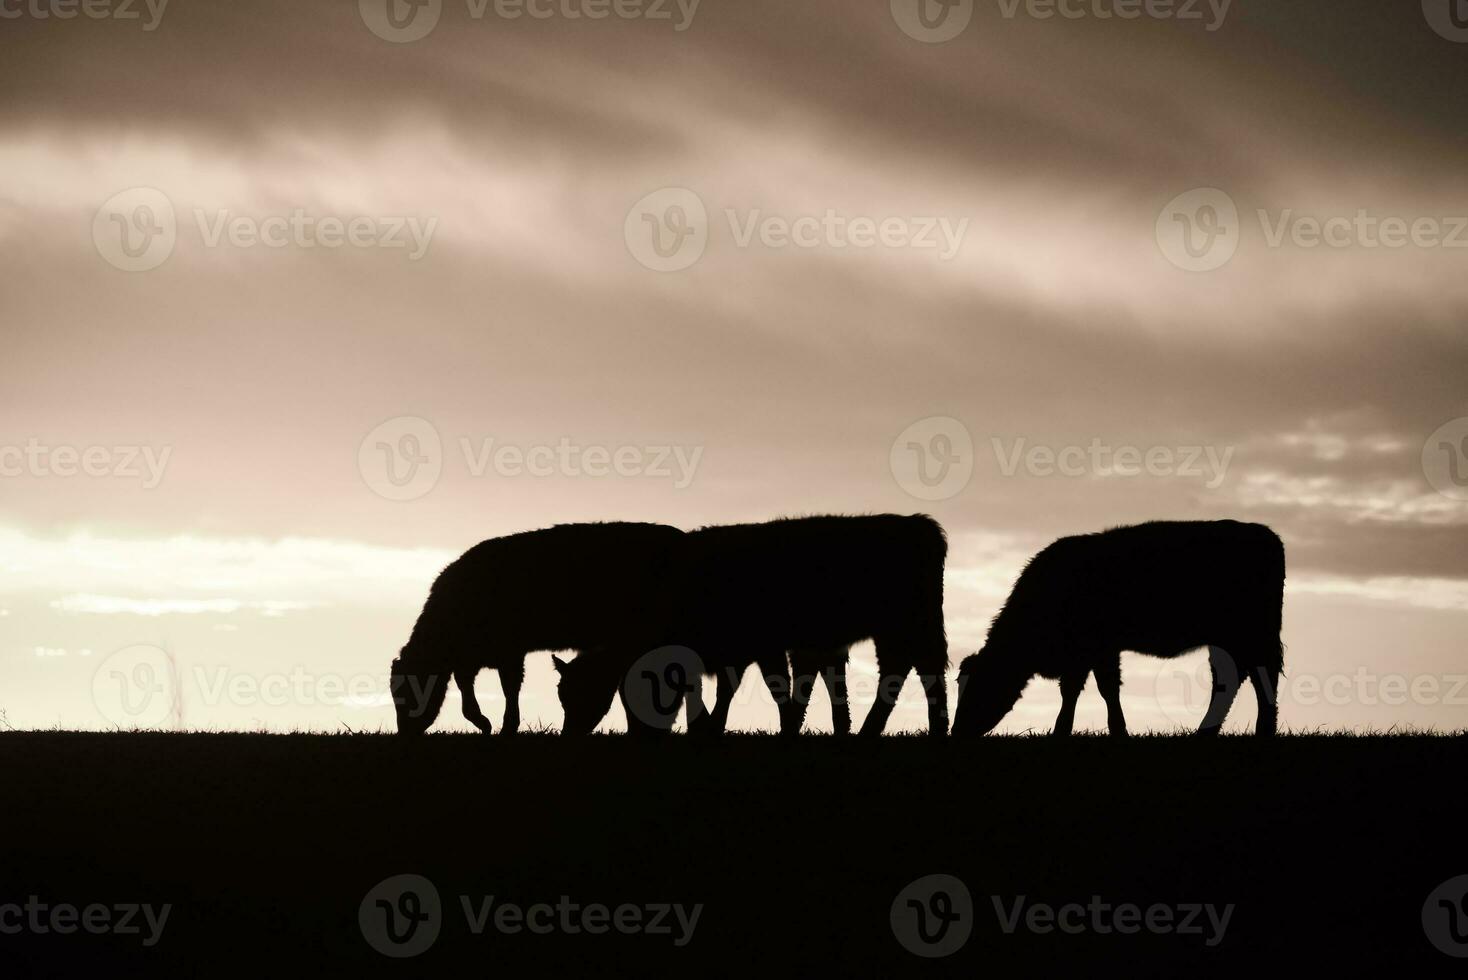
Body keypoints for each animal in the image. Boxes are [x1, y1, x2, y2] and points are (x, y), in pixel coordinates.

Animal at [390, 525, 687, 730]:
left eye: (409, 692)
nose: (404, 731)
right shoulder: (471, 660)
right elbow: (467, 692)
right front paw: (484, 723)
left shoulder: (510, 653)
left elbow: (510, 689)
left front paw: (505, 727)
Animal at [554, 519, 945, 733]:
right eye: (562, 694)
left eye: (584, 690)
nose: (569, 734)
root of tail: (919, 523)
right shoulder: (729, 651)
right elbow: (719, 688)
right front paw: (709, 726)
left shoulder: (760, 647)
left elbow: (772, 686)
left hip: (907, 625)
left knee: (915, 669)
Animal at [951, 519, 1285, 733]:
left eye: (979, 684)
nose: (958, 730)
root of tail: (1265, 534)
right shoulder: (1099, 652)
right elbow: (1100, 689)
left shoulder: (1090, 650)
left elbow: (1083, 689)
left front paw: (1064, 730)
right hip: (1229, 640)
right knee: (1231, 679)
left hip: (1254, 635)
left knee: (1260, 675)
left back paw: (1261, 729)